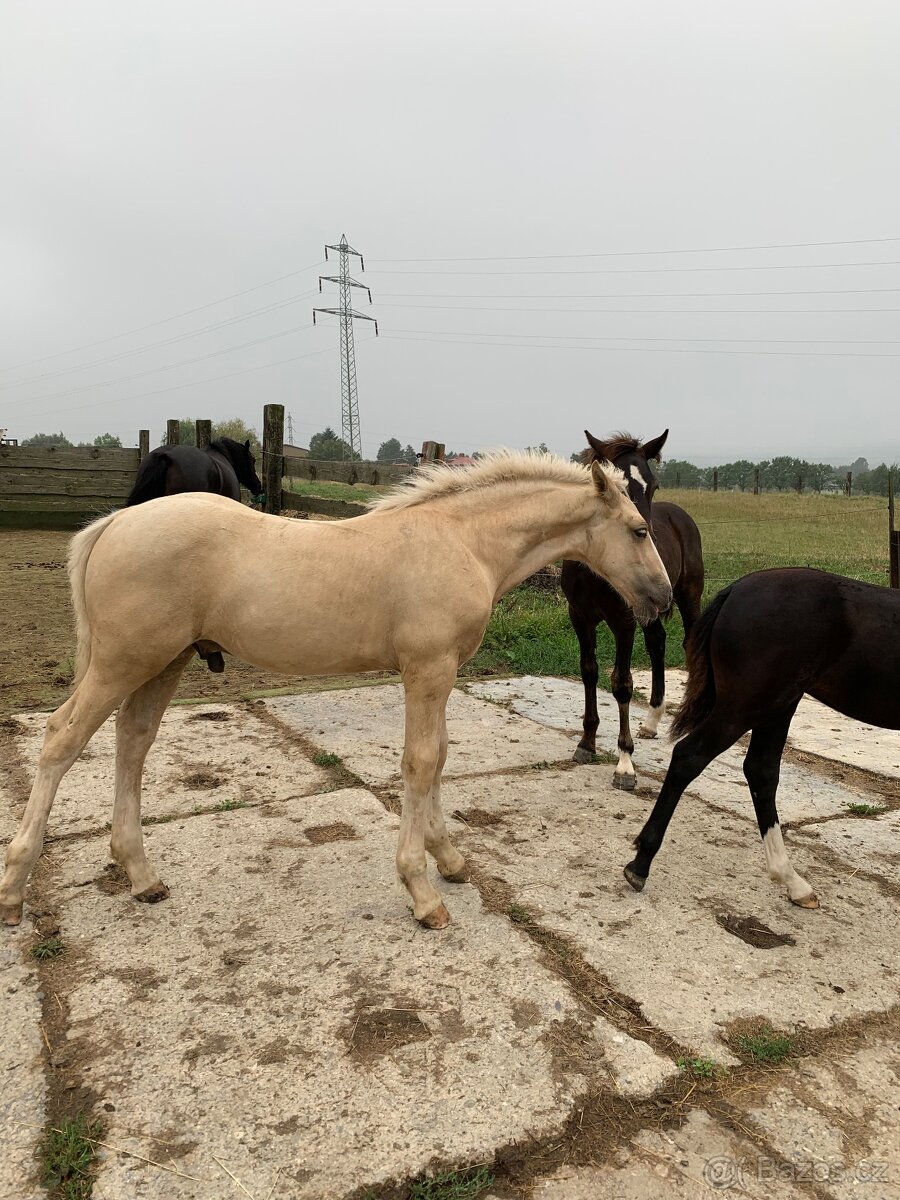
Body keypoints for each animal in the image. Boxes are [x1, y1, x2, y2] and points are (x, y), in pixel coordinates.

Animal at [0, 451, 672, 926]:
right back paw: (14, 889)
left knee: (133, 740)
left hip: (163, 662)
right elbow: (420, 761)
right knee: (61, 739)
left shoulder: (442, 673)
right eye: (639, 530)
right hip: (123, 661)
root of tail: (114, 522)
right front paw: (422, 891)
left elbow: (438, 758)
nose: (663, 600)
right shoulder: (427, 669)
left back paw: (141, 875)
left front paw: (450, 860)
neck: (461, 540)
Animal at [564, 429, 705, 787]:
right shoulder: (580, 617)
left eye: (653, 485)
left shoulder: (622, 621)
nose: (645, 535)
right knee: (657, 642)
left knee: (689, 642)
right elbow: (589, 671)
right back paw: (652, 720)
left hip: (688, 594)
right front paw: (587, 743)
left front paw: (624, 763)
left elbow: (622, 684)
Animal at [624, 571, 900, 907]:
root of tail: (735, 590)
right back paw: (641, 864)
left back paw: (792, 880)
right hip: (748, 706)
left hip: (779, 704)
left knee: (761, 771)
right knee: (690, 756)